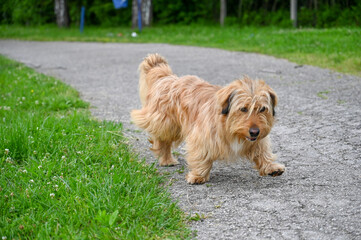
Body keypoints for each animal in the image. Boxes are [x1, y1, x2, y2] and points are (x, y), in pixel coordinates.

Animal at [130, 54, 284, 184]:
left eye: (262, 109)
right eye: (243, 109)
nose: (254, 132)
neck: (229, 127)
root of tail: (167, 78)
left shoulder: (256, 140)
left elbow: (262, 151)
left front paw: (271, 167)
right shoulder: (201, 136)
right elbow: (201, 155)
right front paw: (198, 175)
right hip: (167, 123)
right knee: (162, 139)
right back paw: (166, 158)